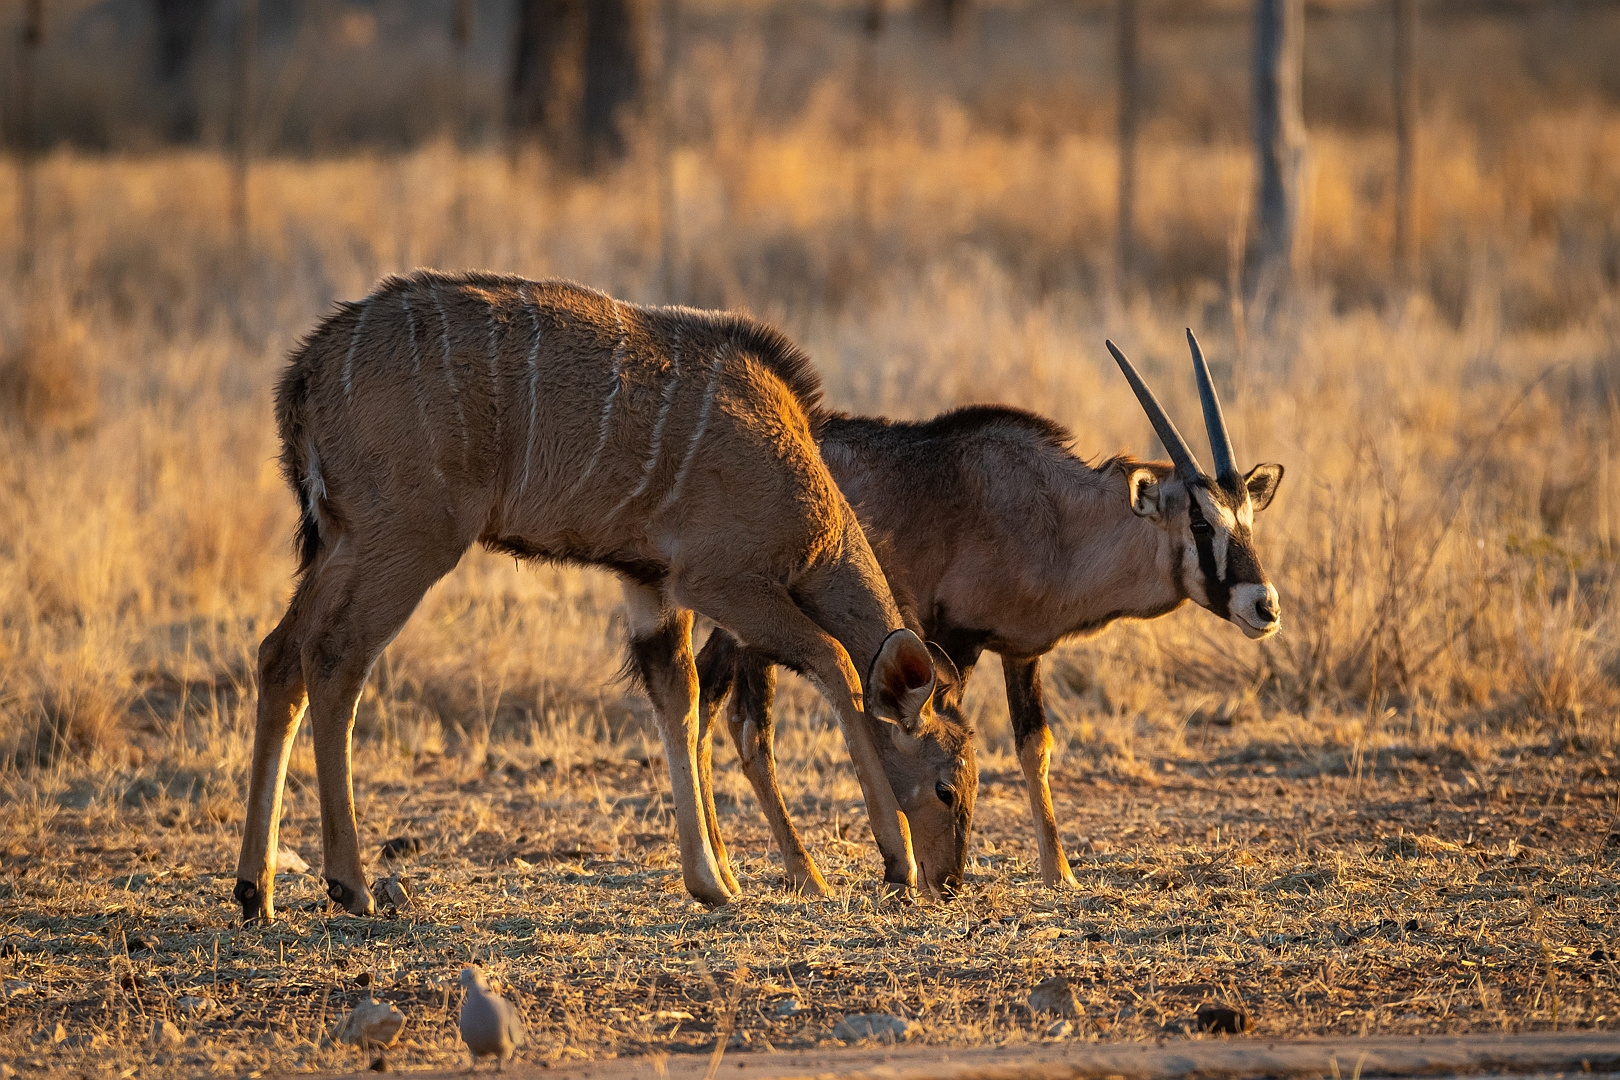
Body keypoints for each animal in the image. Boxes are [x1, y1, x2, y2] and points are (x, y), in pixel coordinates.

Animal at [231, 270, 972, 919]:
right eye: (947, 787)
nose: (952, 882)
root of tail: (305, 374)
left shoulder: (650, 584)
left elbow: (679, 699)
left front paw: (713, 883)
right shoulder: (720, 581)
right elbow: (834, 662)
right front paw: (895, 863)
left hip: (343, 541)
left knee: (280, 654)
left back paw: (254, 891)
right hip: (407, 541)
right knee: (336, 657)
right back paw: (351, 885)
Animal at [696, 333, 1276, 893]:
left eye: (1248, 518)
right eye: (1200, 523)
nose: (1264, 604)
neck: (1053, 517)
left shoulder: (1020, 648)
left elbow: (1034, 746)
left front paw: (1059, 873)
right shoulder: (955, 638)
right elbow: (933, 733)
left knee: (707, 702)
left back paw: (724, 866)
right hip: (752, 625)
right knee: (748, 729)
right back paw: (797, 872)